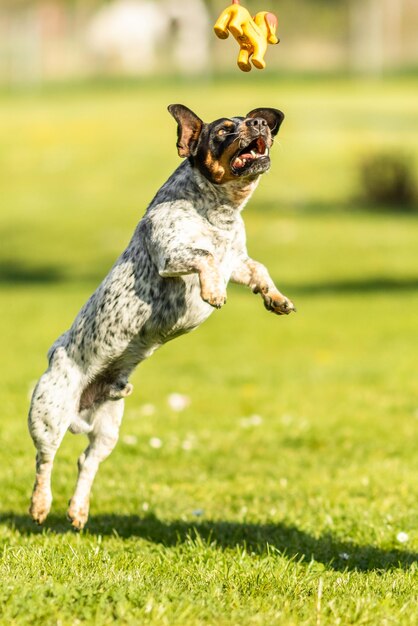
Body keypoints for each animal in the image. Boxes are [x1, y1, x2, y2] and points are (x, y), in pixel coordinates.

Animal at [27, 102, 296, 528]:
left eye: (255, 120)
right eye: (224, 130)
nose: (258, 124)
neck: (219, 212)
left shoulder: (237, 262)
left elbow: (259, 271)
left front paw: (277, 299)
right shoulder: (173, 255)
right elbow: (203, 256)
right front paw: (213, 292)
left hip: (108, 429)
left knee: (86, 462)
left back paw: (78, 510)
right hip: (49, 413)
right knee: (45, 461)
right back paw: (40, 505)